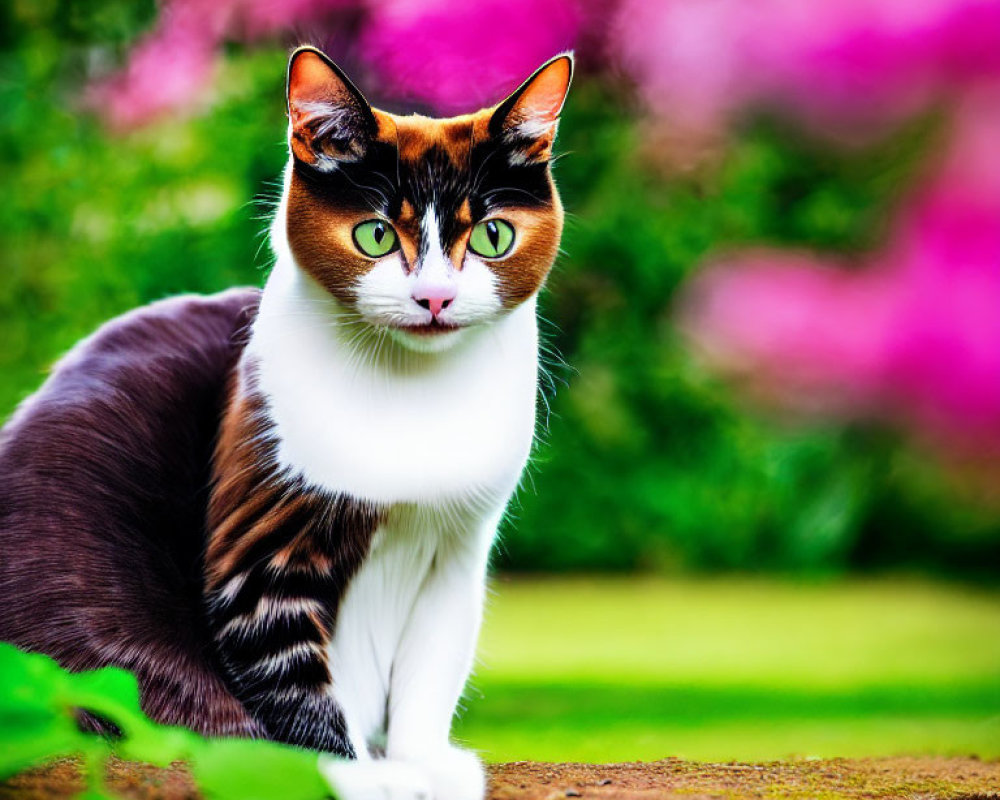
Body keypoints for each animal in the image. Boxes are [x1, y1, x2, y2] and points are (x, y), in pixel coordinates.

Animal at [0, 45, 572, 800]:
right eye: (375, 235)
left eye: (493, 235)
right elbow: (291, 682)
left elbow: (433, 663)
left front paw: (424, 760)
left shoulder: (459, 545)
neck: (415, 392)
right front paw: (363, 775)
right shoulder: (264, 551)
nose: (435, 297)